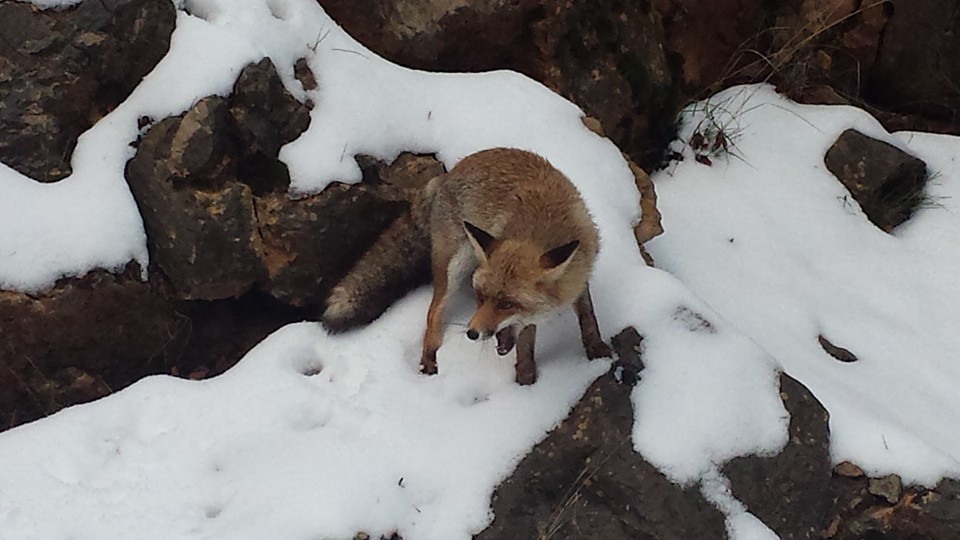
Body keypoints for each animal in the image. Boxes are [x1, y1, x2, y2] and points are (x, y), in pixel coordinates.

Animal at [322, 148, 608, 384]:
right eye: (481, 297)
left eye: (507, 304)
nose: (472, 333)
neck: (540, 231)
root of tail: (447, 176)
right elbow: (526, 343)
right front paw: (526, 381)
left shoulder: (580, 276)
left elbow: (587, 315)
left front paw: (597, 350)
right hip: (454, 267)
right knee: (433, 314)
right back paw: (429, 362)